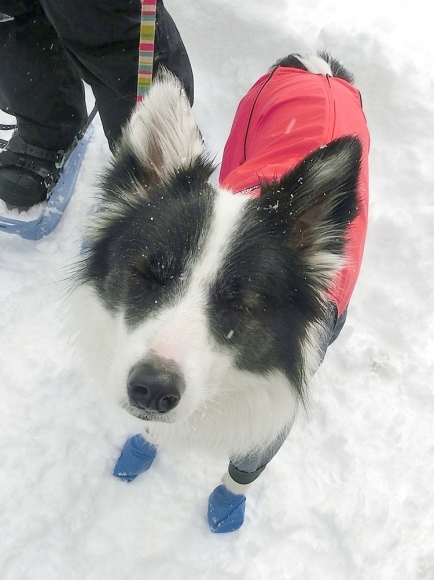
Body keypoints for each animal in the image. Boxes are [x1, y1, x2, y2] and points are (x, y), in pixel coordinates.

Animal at [71, 52, 370, 532]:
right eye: (149, 274)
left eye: (239, 304)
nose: (152, 389)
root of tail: (316, 65)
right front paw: (141, 449)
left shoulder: (273, 421)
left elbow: (241, 472)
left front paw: (227, 507)